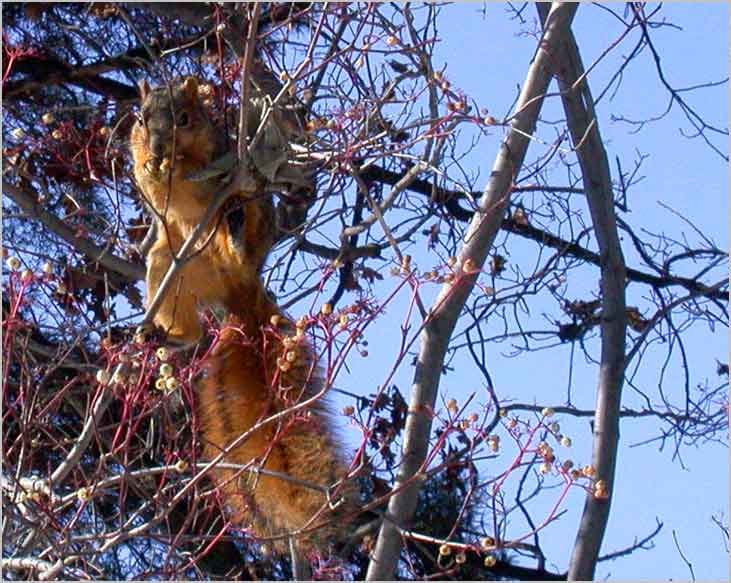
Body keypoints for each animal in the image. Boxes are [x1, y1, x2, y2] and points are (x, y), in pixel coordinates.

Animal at [129, 76, 358, 552]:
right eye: (140, 118)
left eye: (185, 119)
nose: (159, 147)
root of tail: (240, 287)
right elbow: (148, 184)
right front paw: (151, 165)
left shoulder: (217, 158)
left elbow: (201, 173)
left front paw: (175, 164)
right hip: (167, 262)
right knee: (191, 327)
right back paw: (166, 336)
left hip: (249, 215)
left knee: (243, 217)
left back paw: (234, 231)